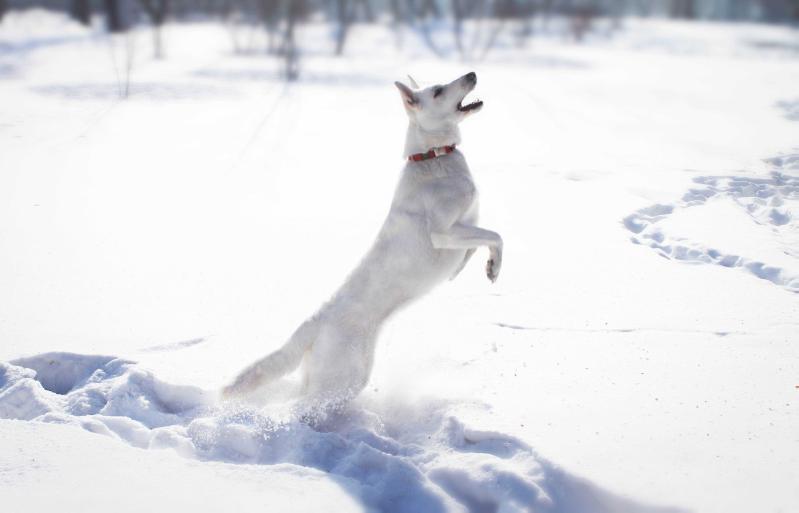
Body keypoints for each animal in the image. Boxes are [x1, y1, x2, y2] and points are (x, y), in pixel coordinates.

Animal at [222, 72, 504, 410]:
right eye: (438, 91)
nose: (472, 74)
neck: (432, 157)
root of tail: (314, 322)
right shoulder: (444, 232)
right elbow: (497, 236)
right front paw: (494, 266)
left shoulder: (468, 224)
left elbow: (478, 244)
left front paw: (480, 268)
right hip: (343, 379)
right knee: (297, 407)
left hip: (335, 377)